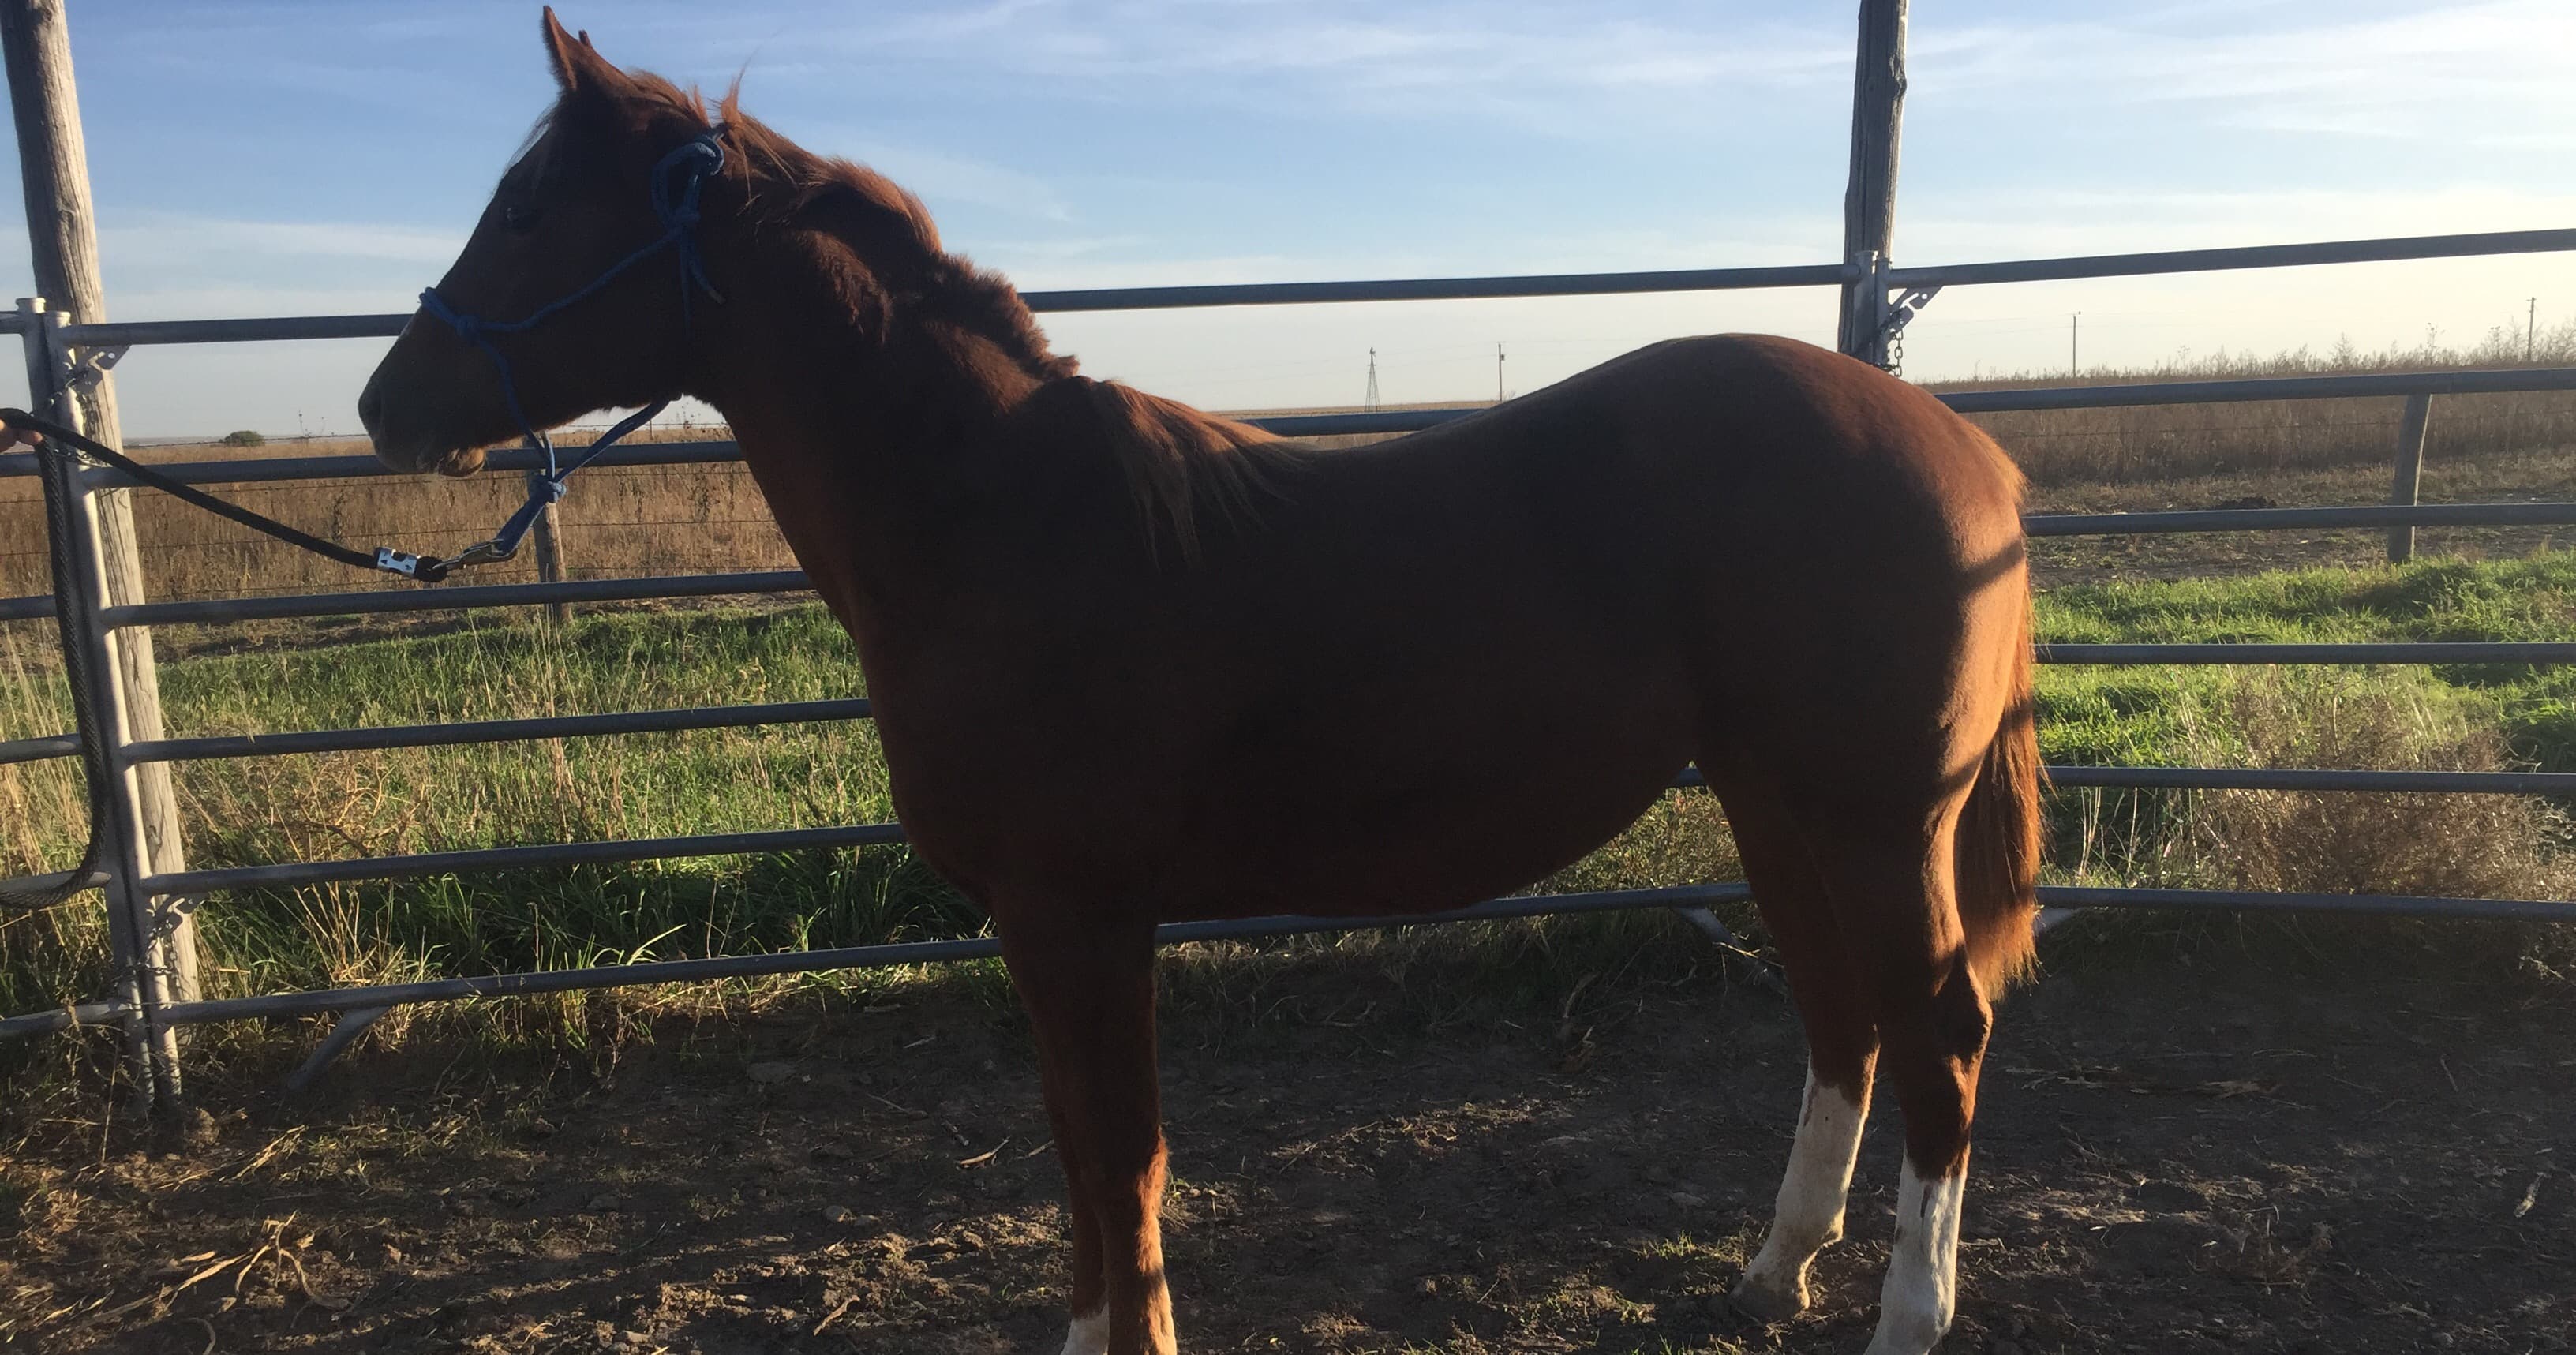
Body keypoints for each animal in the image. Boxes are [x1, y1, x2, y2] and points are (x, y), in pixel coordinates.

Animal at [357, 14, 2042, 1354]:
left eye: (526, 206)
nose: (385, 404)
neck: (1002, 518)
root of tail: (1966, 451)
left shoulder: (1079, 918)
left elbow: (1120, 1160)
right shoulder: (1045, 929)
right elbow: (1079, 1156)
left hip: (1874, 821)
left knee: (1939, 1031)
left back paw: (1906, 1314)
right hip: (1775, 805)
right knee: (1841, 1018)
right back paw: (1769, 1271)